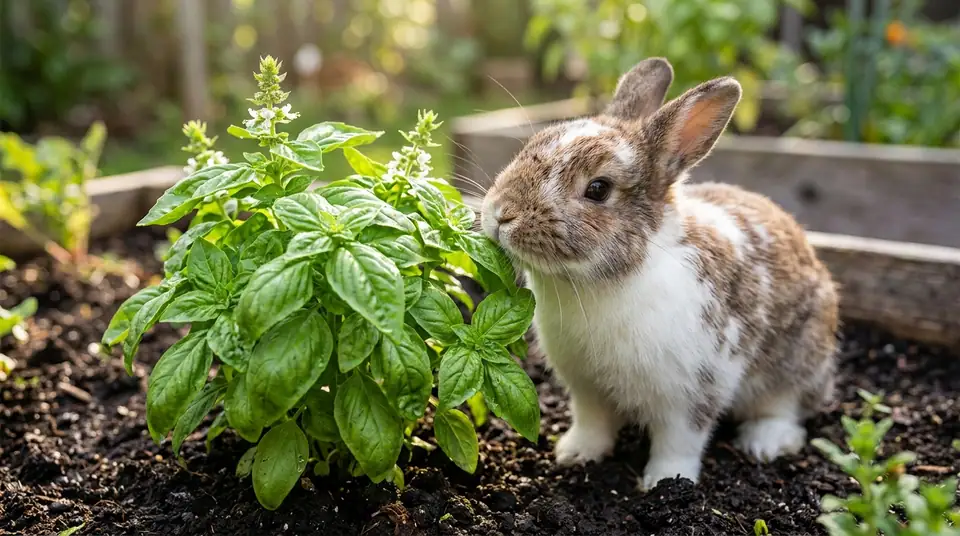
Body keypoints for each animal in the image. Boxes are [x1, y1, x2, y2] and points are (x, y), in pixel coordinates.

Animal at [479, 57, 839, 491]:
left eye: (598, 189)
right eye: (532, 145)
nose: (501, 213)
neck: (605, 280)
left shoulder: (691, 391)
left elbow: (679, 441)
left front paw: (665, 483)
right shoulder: (586, 388)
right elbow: (592, 424)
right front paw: (575, 454)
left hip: (797, 360)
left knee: (786, 408)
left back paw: (765, 442)